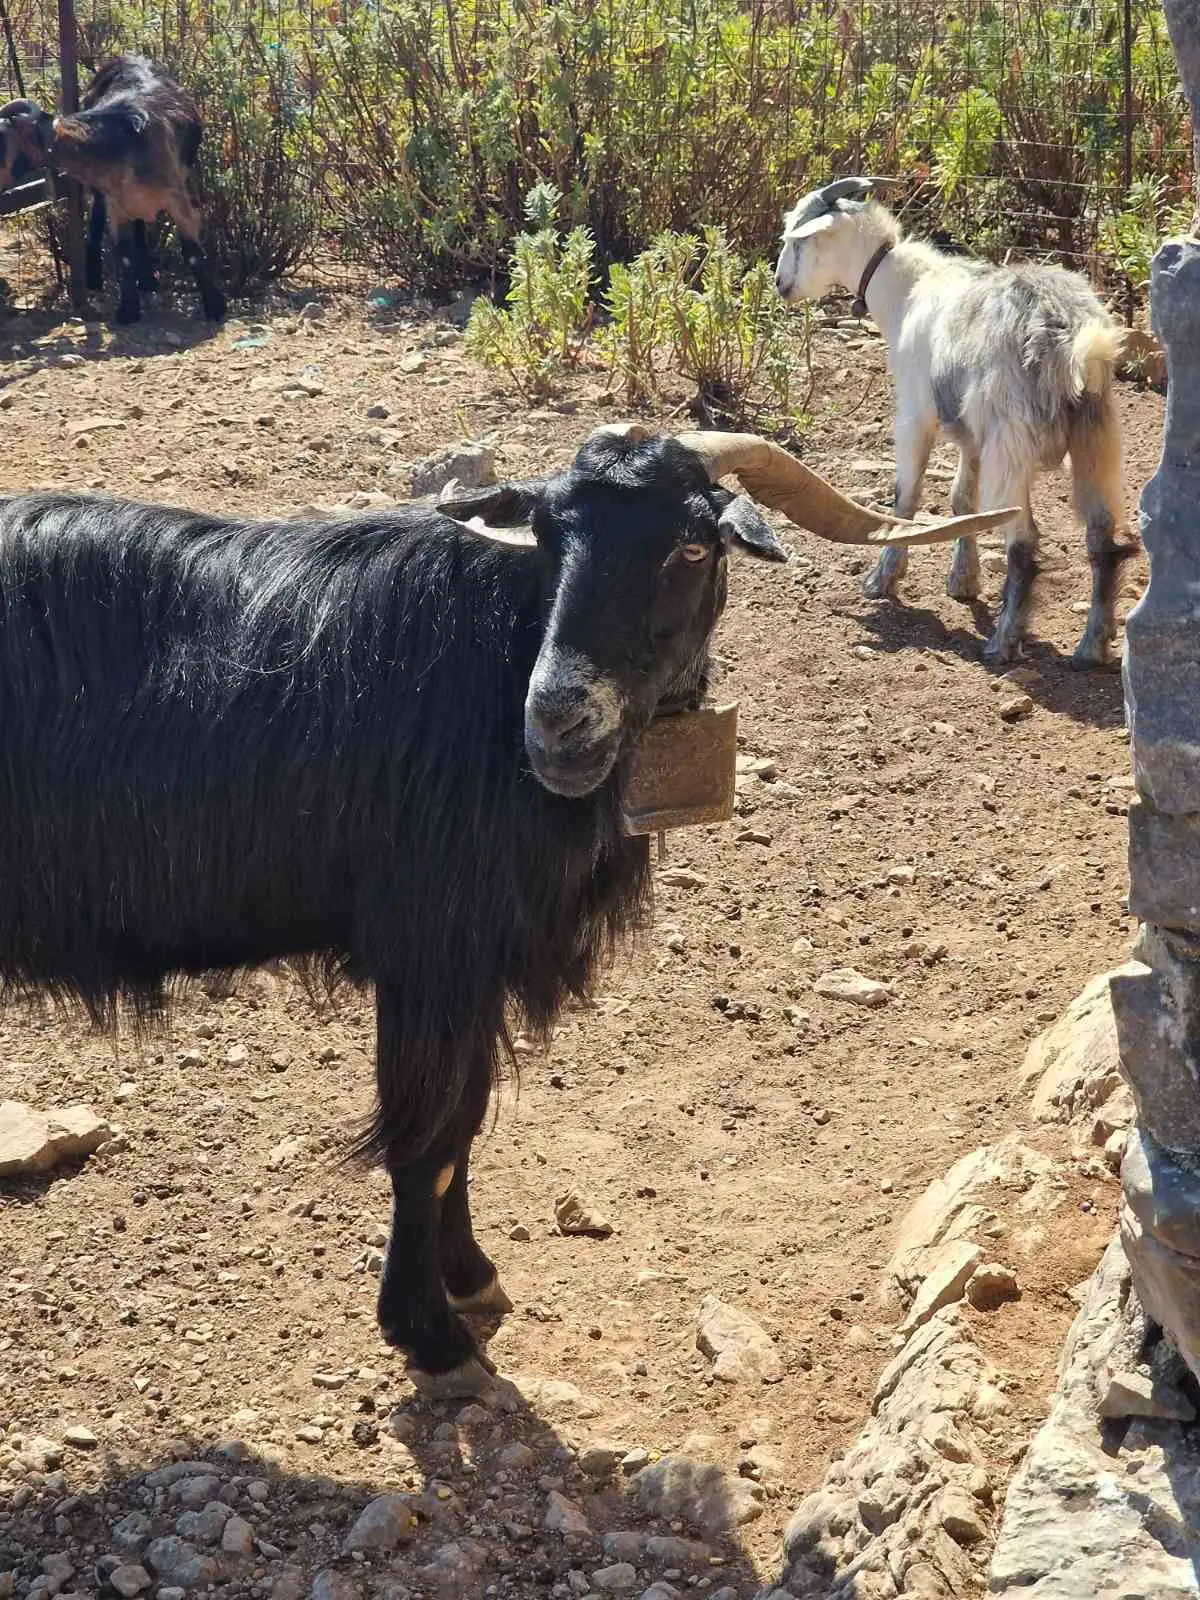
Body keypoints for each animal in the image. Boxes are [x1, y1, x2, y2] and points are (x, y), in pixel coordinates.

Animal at [3, 55, 224, 324]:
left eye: (0, 141)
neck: (125, 144)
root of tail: (127, 57)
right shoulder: (116, 205)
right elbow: (124, 256)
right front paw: (128, 309)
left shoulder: (179, 200)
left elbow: (192, 253)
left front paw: (215, 306)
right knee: (101, 223)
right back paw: (102, 278)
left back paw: (146, 280)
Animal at [774, 177, 1133, 666]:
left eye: (797, 240)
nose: (780, 284)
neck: (904, 290)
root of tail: (1071, 339)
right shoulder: (970, 436)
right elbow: (964, 503)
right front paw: (963, 582)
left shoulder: (914, 414)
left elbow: (906, 498)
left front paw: (882, 579)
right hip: (1096, 436)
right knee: (1102, 536)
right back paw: (1091, 645)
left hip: (1011, 440)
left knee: (1024, 542)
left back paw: (1003, 641)